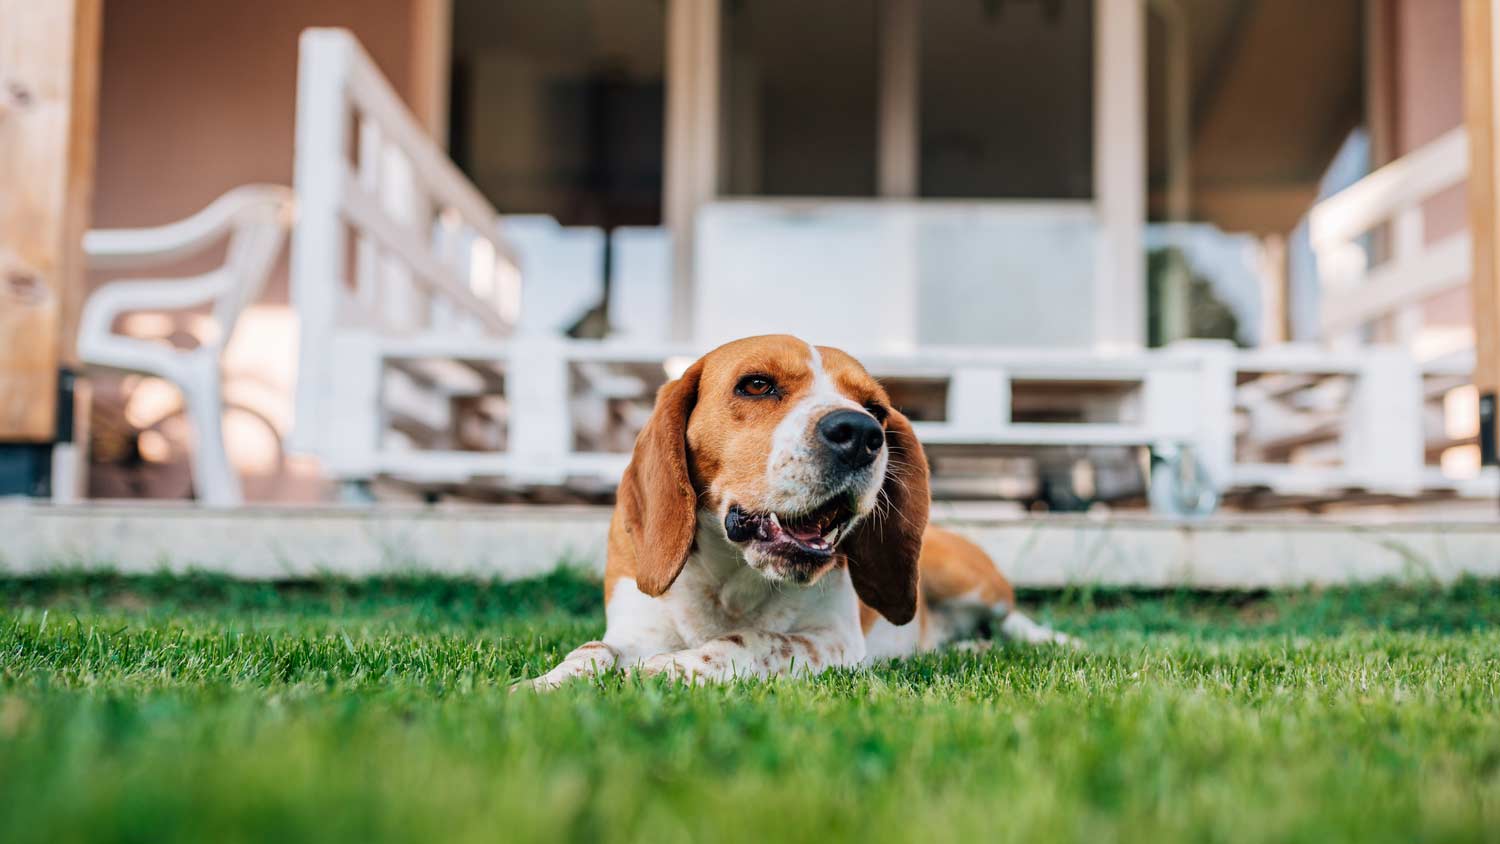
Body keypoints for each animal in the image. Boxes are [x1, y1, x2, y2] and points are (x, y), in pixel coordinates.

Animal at [528, 334, 1068, 689]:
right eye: (756, 385)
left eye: (875, 407)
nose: (862, 433)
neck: (731, 581)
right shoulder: (632, 629)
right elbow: (592, 651)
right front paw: (539, 687)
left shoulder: (833, 641)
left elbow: (751, 640)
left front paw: (666, 669)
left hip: (969, 581)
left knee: (1013, 619)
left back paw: (1055, 641)